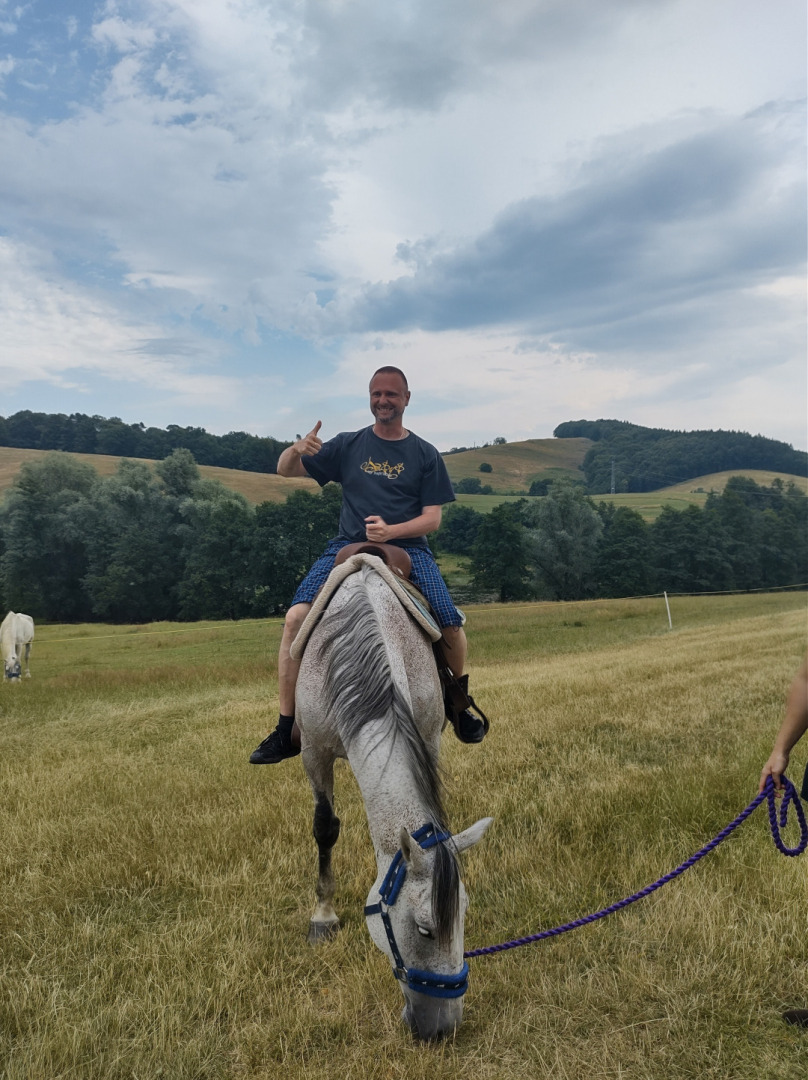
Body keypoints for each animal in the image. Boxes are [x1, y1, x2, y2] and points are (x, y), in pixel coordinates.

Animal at [293, 555, 492, 1041]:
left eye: (465, 914)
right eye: (424, 930)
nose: (442, 1028)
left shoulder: (427, 738)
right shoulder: (314, 753)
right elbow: (325, 828)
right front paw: (322, 916)